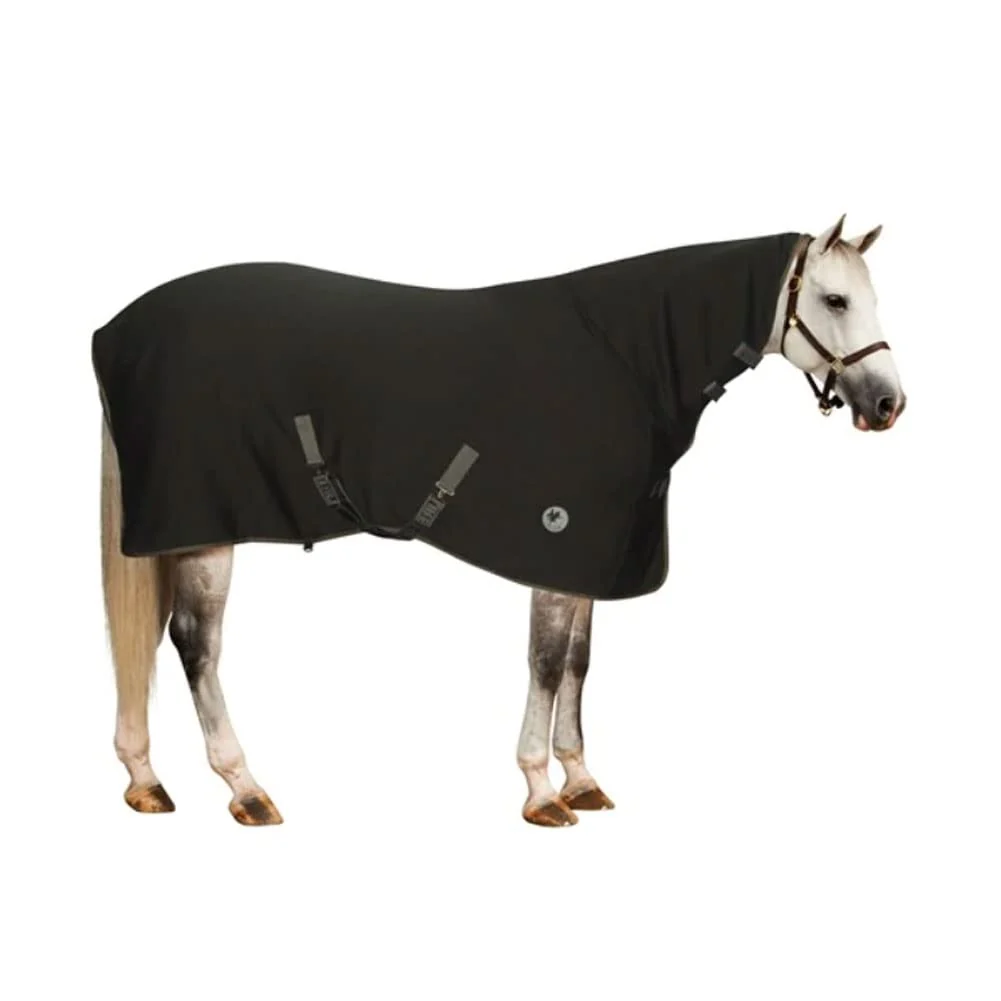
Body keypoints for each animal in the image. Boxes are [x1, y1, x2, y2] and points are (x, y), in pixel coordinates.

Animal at [95, 214, 906, 827]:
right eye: (835, 300)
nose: (887, 403)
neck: (625, 357)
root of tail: (116, 331)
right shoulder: (554, 542)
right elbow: (545, 663)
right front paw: (542, 791)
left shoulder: (588, 555)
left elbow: (578, 663)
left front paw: (581, 779)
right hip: (205, 529)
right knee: (195, 645)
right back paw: (244, 787)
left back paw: (145, 779)